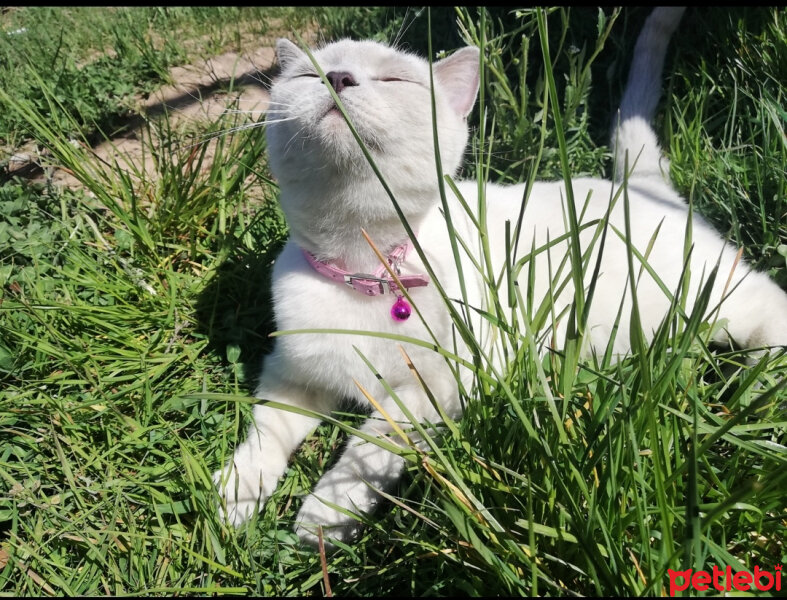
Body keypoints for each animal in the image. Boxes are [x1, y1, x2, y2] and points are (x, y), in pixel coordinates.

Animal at [215, 7, 787, 548]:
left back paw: (761, 386)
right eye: (307, 76)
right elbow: (266, 433)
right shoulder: (292, 375)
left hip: (702, 298)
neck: (364, 268)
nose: (337, 77)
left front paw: (324, 517)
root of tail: (637, 184)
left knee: (767, 301)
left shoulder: (444, 384)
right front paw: (234, 496)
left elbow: (373, 446)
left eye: (393, 80)